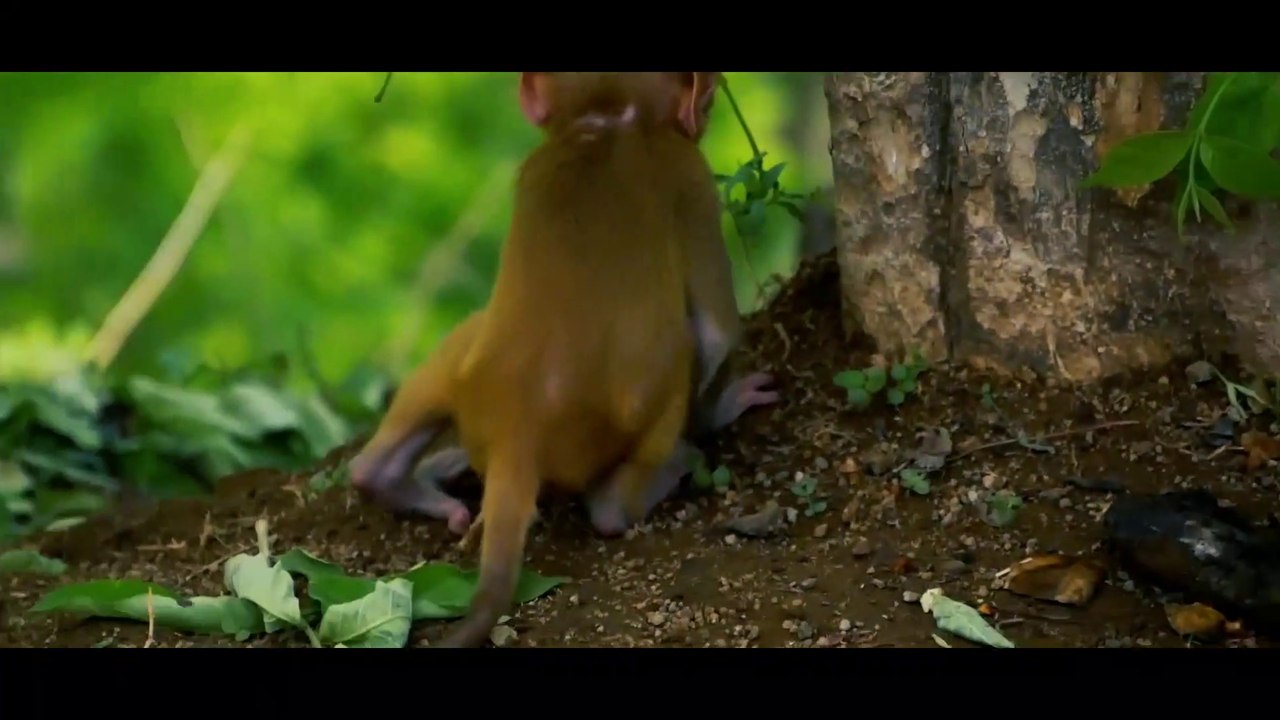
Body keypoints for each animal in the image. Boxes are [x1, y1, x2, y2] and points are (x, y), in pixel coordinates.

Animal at [350, 72, 723, 648]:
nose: (705, 112)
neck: (609, 117)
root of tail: (517, 431)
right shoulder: (690, 173)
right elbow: (717, 332)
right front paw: (731, 401)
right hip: (612, 430)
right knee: (674, 366)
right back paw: (659, 474)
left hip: (471, 384)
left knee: (455, 347)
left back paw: (391, 476)